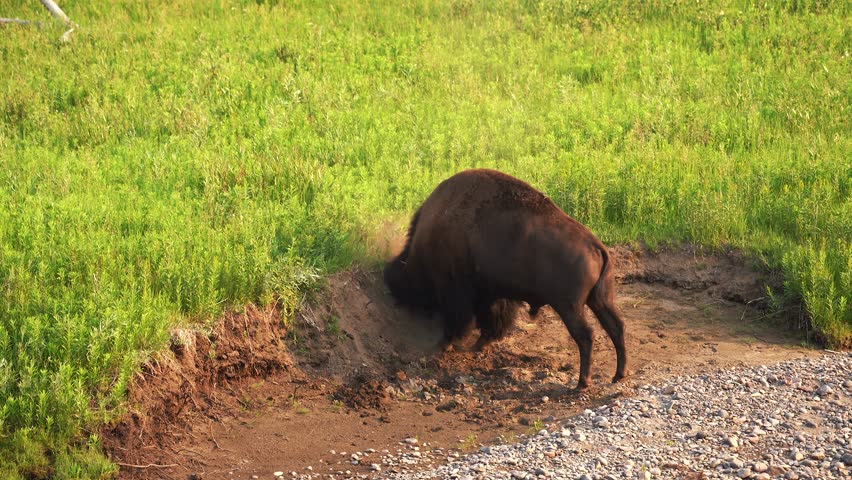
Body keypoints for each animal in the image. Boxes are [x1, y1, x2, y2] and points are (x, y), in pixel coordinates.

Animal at [384, 169, 627, 389]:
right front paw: (479, 345)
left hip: (570, 306)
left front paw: (446, 344)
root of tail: (597, 246)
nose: (398, 297)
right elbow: (491, 320)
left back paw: (582, 383)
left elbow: (462, 319)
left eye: (407, 281)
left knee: (586, 335)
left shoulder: (456, 289)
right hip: (600, 300)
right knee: (616, 327)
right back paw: (618, 375)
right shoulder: (493, 294)